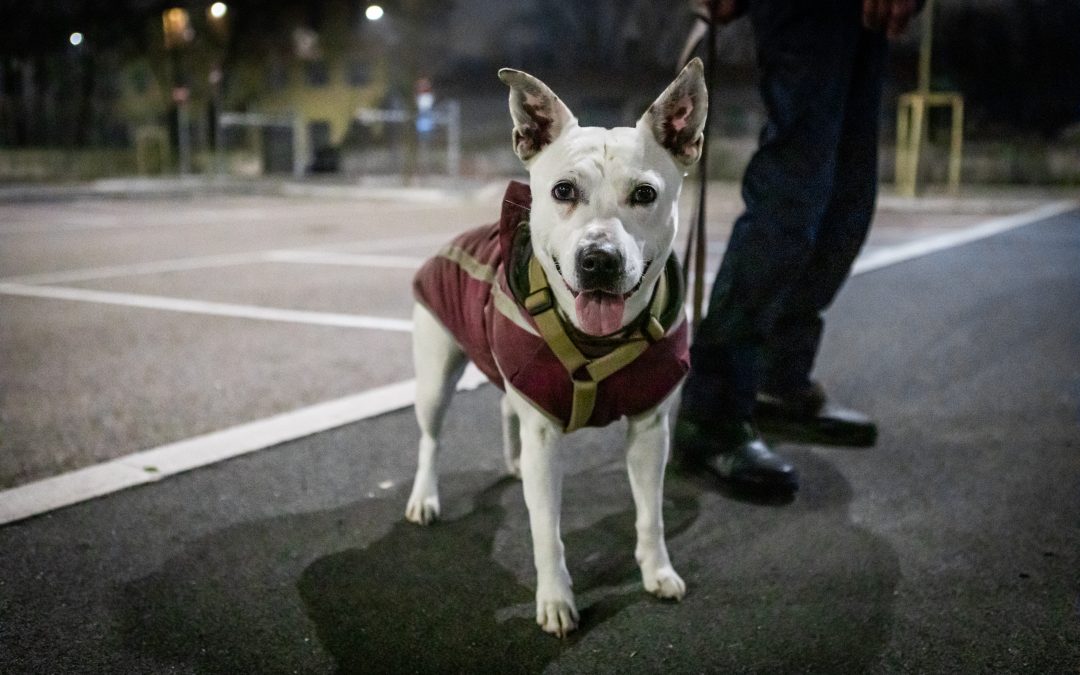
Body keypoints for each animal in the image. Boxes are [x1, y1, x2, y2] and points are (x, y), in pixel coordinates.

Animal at [406, 59, 708, 635]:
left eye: (645, 194)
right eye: (564, 190)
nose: (599, 260)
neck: (599, 340)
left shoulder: (650, 429)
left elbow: (651, 514)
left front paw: (657, 571)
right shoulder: (546, 436)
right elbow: (546, 530)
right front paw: (555, 600)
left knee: (505, 406)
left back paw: (512, 462)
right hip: (433, 378)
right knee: (430, 440)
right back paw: (424, 498)